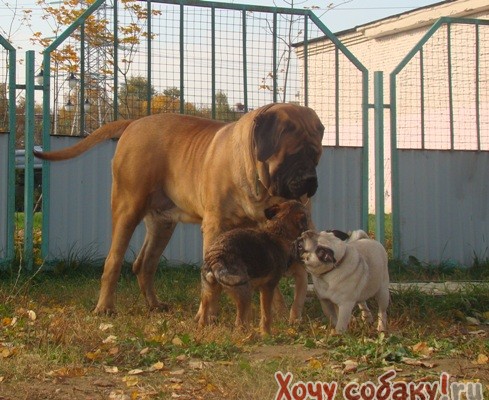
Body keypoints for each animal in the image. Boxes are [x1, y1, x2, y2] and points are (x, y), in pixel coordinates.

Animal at [35, 103, 324, 322]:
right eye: (293, 156)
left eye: (316, 157)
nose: (311, 180)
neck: (257, 183)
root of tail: (134, 123)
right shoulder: (215, 226)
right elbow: (210, 280)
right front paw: (208, 316)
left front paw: (280, 311)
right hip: (127, 209)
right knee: (113, 261)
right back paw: (105, 307)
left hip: (162, 224)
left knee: (145, 264)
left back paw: (154, 304)